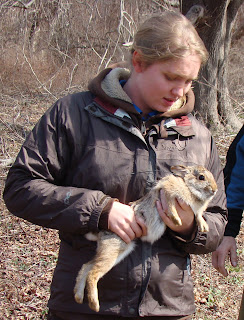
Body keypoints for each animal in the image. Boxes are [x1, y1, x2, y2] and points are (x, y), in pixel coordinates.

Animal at [74, 165, 217, 312]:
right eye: (201, 177)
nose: (215, 189)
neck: (188, 187)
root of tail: (100, 232)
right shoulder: (167, 190)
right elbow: (170, 205)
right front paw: (177, 221)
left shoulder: (194, 211)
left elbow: (198, 216)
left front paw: (204, 227)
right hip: (112, 250)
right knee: (93, 273)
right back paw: (94, 305)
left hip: (119, 250)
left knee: (86, 266)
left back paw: (78, 297)